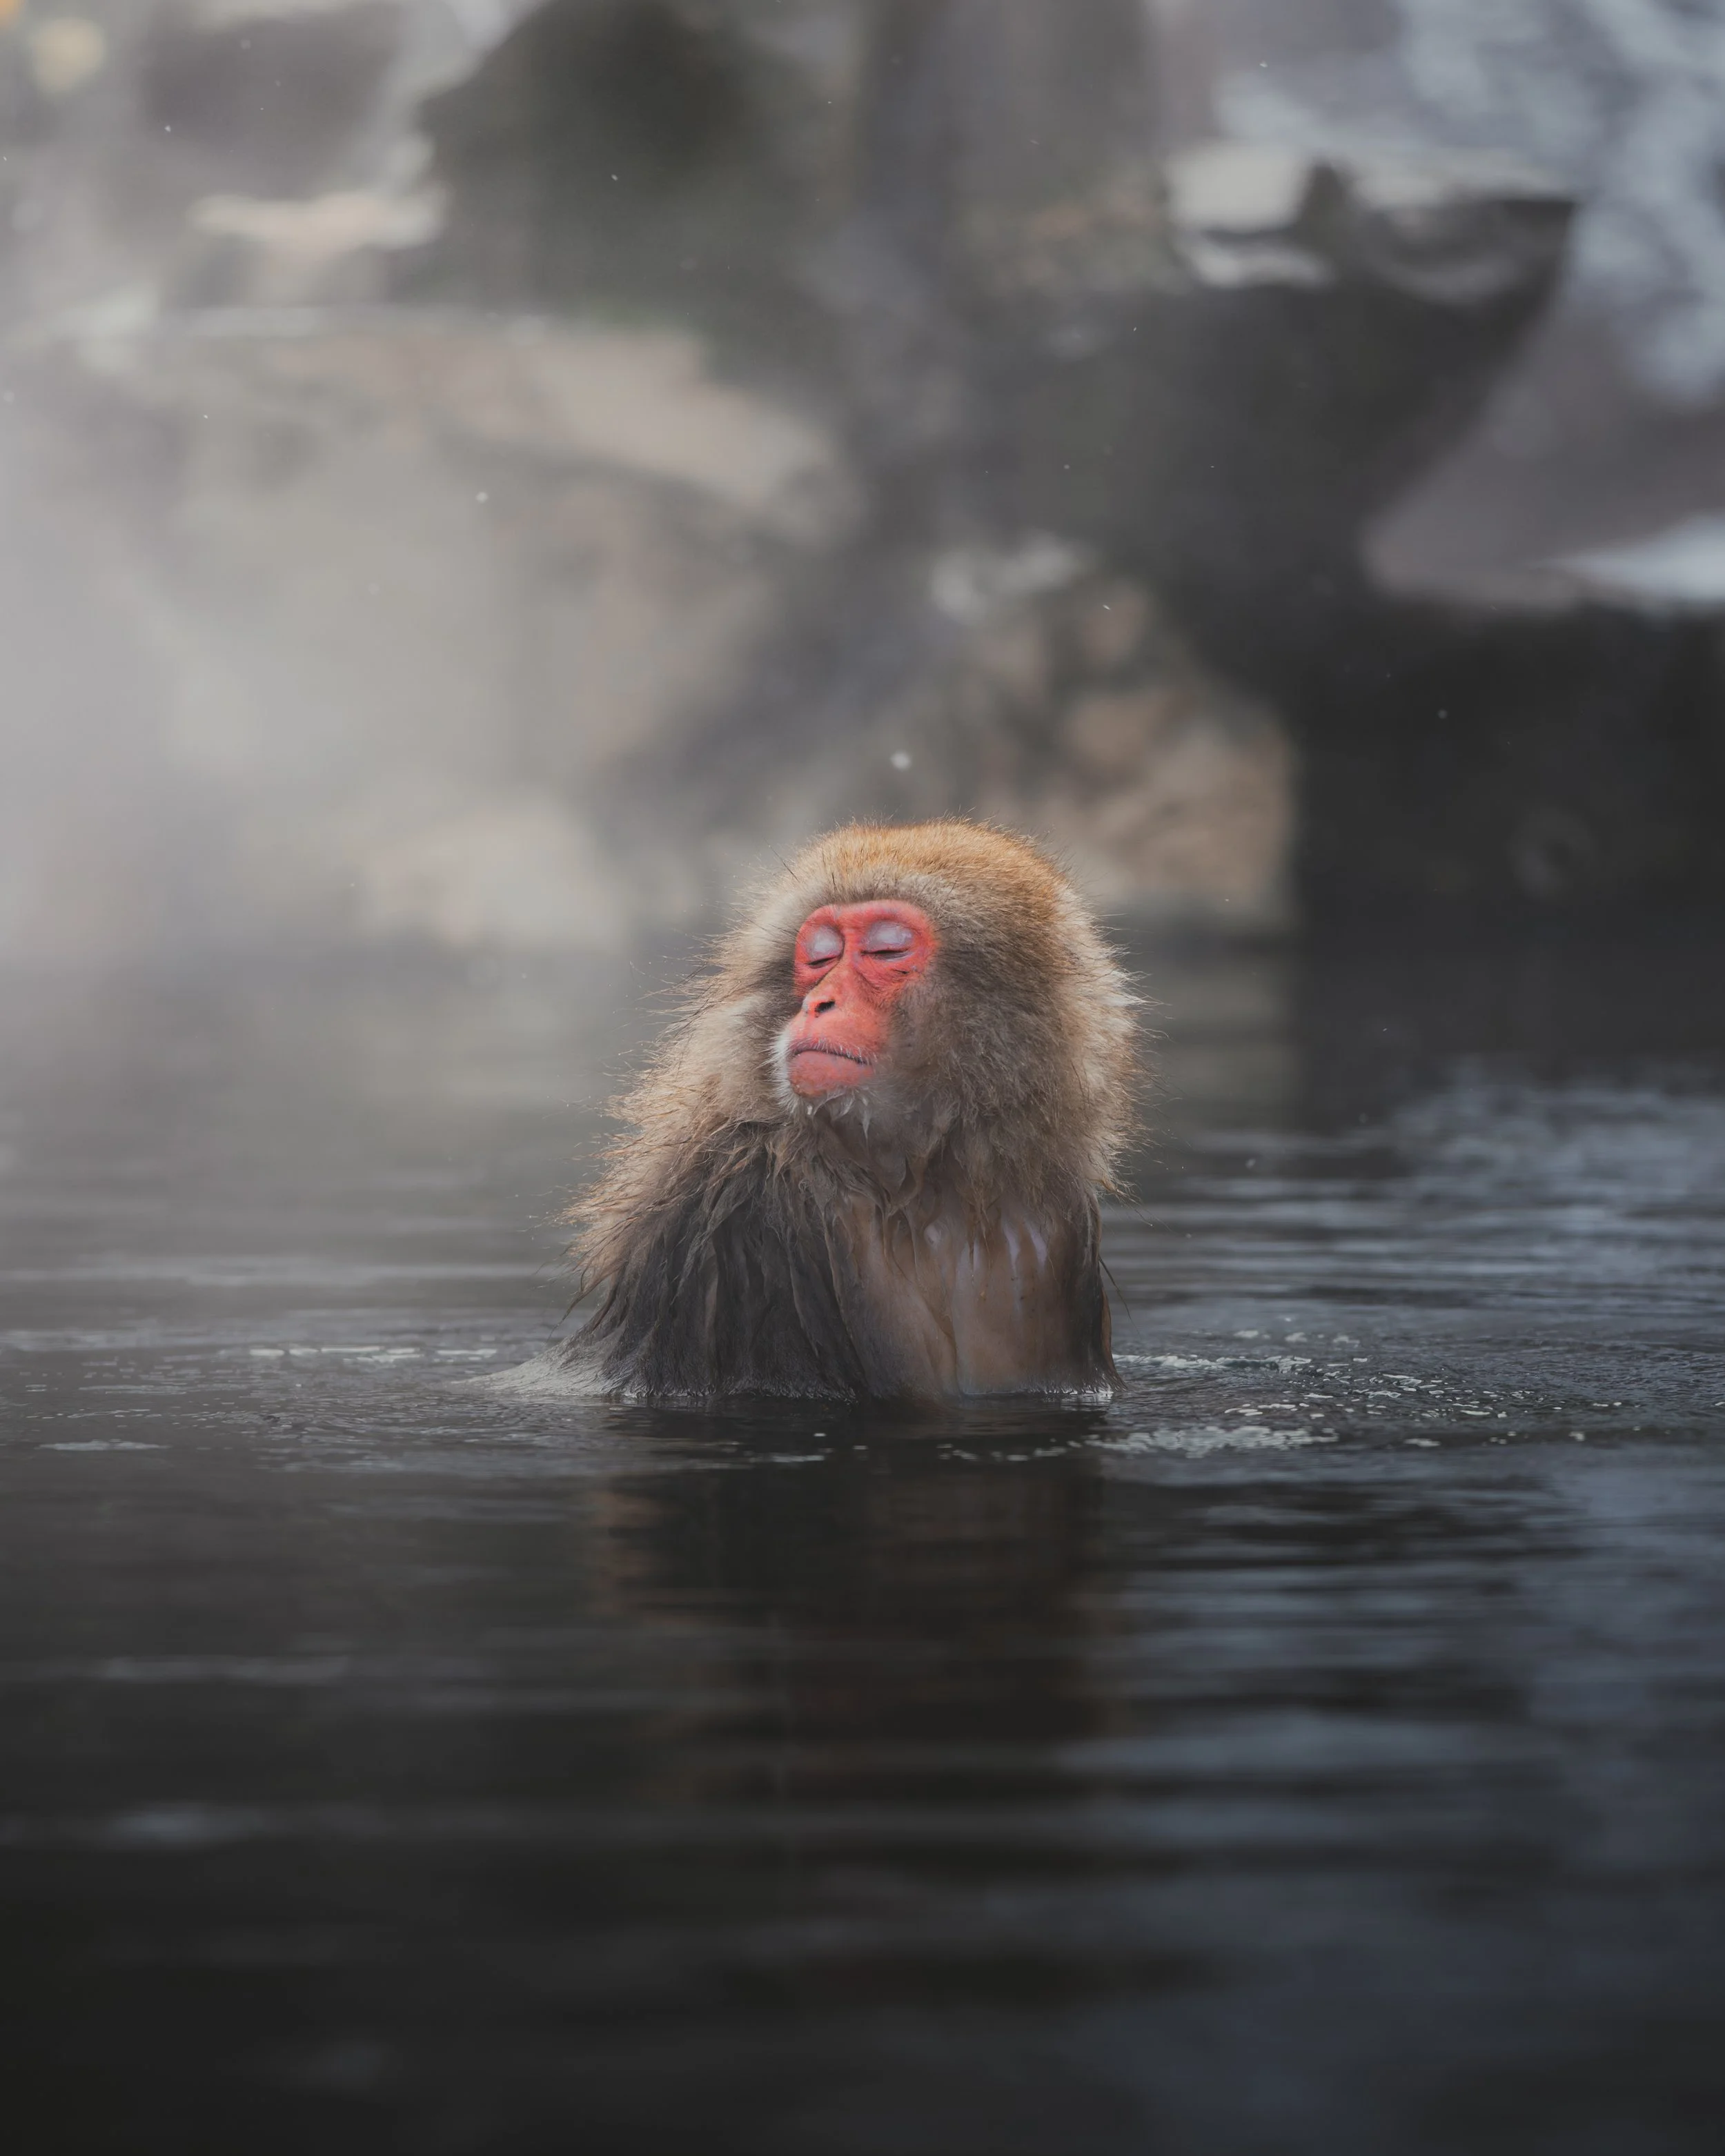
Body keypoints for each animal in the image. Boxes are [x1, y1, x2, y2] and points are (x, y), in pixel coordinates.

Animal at [561, 820, 1141, 1402]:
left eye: (886, 951)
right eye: (820, 958)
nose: (820, 1002)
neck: (920, 1186)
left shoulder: (1055, 1223)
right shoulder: (740, 1207)